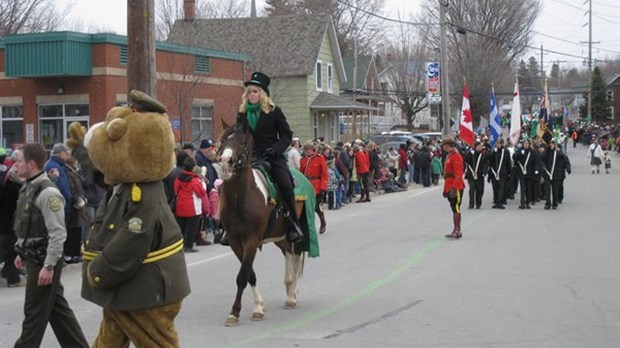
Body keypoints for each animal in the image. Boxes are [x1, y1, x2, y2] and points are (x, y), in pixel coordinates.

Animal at [217, 119, 308, 326]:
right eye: (224, 139)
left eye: (242, 142)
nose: (225, 163)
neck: (241, 198)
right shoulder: (235, 242)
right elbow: (250, 274)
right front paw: (259, 305)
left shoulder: (251, 240)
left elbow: (242, 276)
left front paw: (238, 311)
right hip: (280, 235)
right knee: (289, 254)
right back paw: (289, 288)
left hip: (295, 231)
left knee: (296, 255)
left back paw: (292, 295)